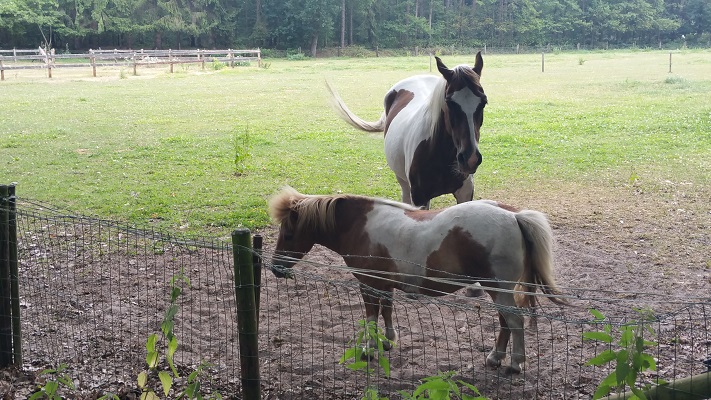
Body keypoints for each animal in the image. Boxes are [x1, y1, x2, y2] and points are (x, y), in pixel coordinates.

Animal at [270, 186, 572, 374]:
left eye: (288, 233)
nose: (275, 269)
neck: (360, 226)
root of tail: (514, 215)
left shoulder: (369, 285)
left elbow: (371, 317)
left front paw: (369, 350)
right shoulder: (384, 285)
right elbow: (387, 311)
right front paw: (387, 341)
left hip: (499, 290)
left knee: (515, 321)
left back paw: (515, 363)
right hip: (498, 291)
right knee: (505, 322)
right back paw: (495, 358)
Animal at [330, 53, 486, 208]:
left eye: (484, 101)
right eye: (449, 102)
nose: (470, 159)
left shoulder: (465, 193)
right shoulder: (419, 198)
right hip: (402, 180)